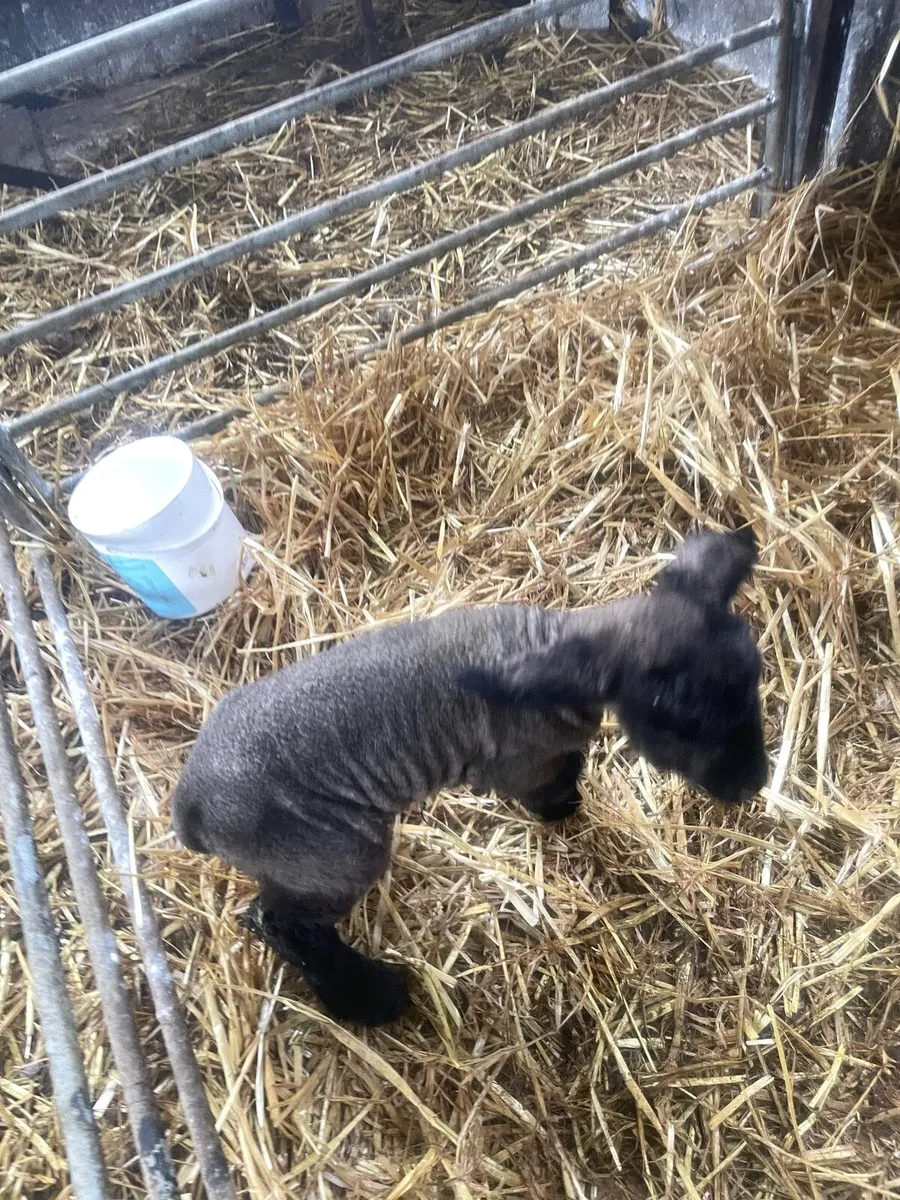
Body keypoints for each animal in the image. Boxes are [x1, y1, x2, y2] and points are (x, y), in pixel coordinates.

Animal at [172, 528, 767, 1026]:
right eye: (677, 718)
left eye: (755, 675)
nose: (753, 784)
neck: (554, 649)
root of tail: (189, 805)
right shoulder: (523, 760)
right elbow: (555, 777)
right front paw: (563, 808)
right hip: (330, 852)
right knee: (286, 926)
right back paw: (373, 1000)